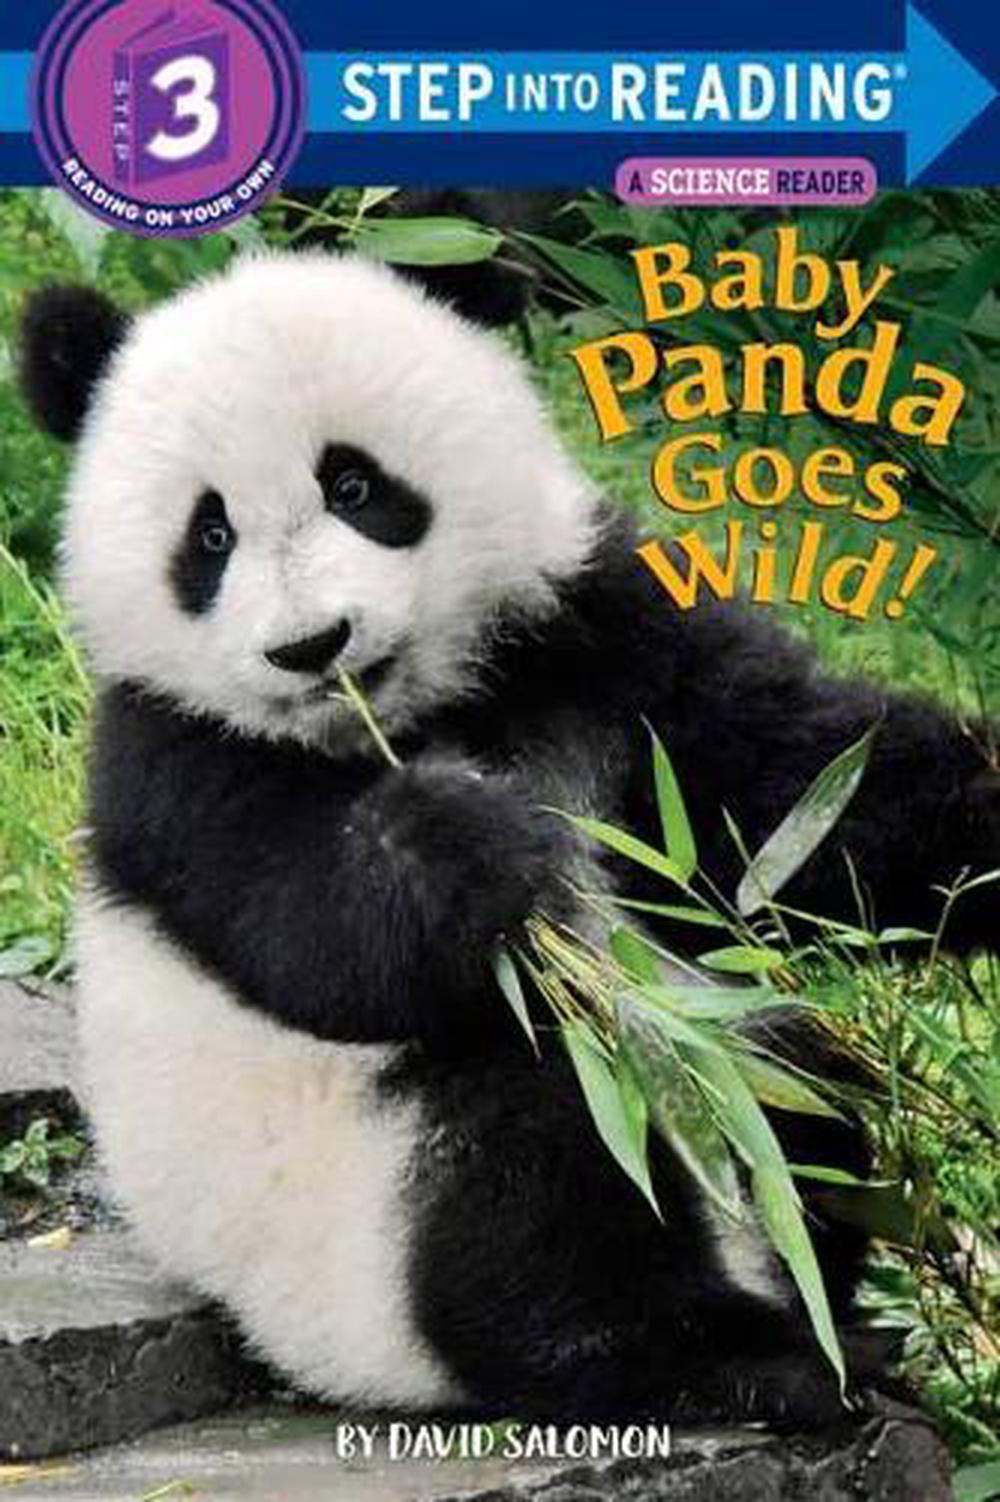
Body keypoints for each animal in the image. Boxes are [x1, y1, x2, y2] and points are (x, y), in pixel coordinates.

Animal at [18, 252, 1000, 1430]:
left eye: (354, 486)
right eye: (209, 538)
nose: (310, 647)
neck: (410, 714)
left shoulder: (597, 629)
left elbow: (796, 802)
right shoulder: (171, 759)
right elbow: (309, 935)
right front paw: (470, 850)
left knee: (794, 1090)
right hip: (352, 1220)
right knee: (538, 1154)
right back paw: (731, 1357)